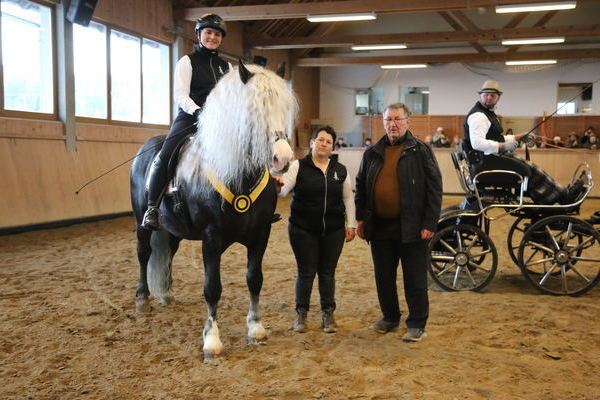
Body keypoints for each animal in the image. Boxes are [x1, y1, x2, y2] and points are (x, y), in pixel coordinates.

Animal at [132, 63, 298, 360]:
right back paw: (143, 299)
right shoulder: (211, 238)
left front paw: (256, 328)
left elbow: (255, 279)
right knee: (144, 254)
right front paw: (212, 341)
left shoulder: (260, 235)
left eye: (282, 110)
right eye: (253, 112)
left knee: (167, 254)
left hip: (173, 232)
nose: (283, 159)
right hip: (142, 224)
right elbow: (212, 288)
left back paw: (166, 294)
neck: (237, 175)